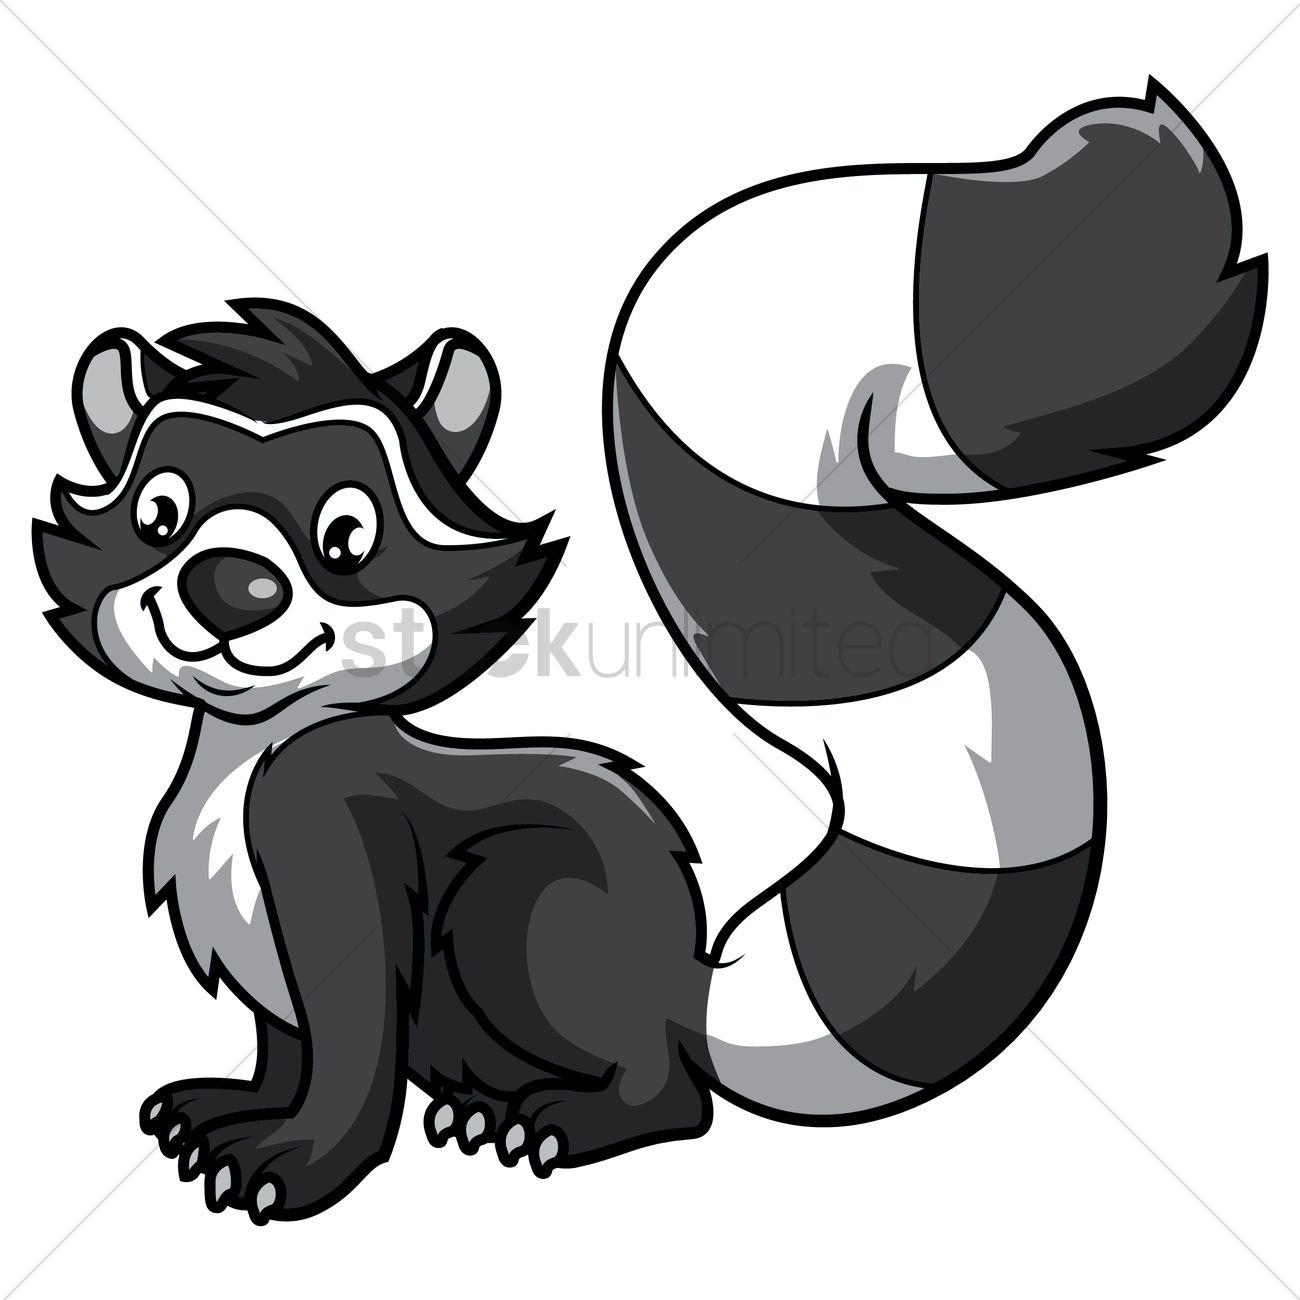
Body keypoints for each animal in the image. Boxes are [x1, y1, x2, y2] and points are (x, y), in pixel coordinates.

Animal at [34, 80, 1265, 1224]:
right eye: (158, 514)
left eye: (348, 536)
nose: (228, 587)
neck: (249, 756)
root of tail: (685, 996)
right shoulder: (263, 971)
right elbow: (281, 1050)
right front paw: (231, 1110)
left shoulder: (333, 860)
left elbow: (349, 1054)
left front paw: (293, 1166)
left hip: (527, 919)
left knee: (670, 1099)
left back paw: (556, 1121)